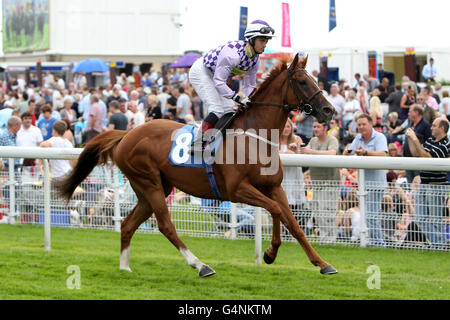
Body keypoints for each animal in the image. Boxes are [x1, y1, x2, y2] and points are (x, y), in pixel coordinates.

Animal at [56, 53, 338, 276]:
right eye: (302, 81)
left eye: (315, 79)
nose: (329, 110)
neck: (254, 136)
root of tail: (127, 134)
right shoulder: (237, 190)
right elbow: (276, 211)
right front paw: (270, 252)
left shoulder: (274, 187)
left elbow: (294, 224)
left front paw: (323, 263)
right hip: (149, 183)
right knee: (166, 225)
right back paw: (201, 265)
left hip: (151, 187)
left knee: (128, 224)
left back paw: (125, 267)